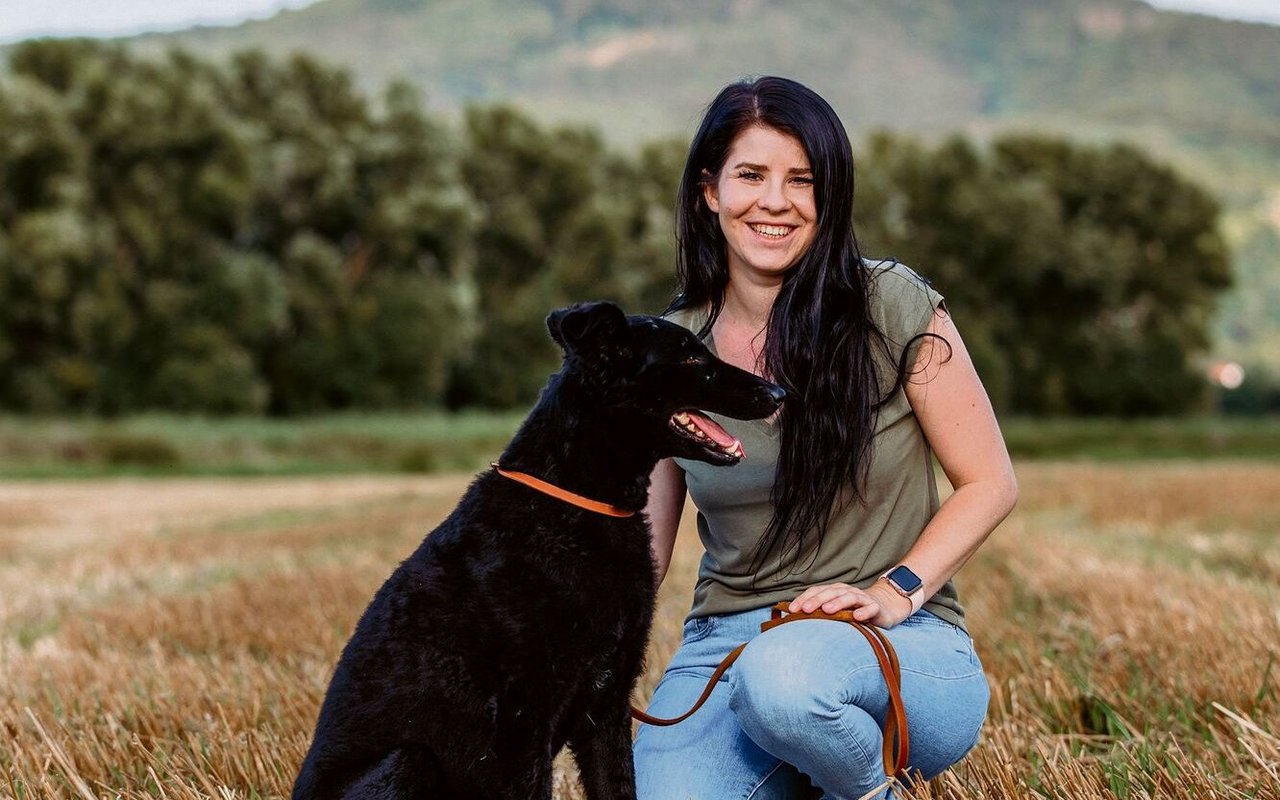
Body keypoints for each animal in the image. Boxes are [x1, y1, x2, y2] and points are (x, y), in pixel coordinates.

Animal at [293, 300, 783, 798]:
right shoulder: (523, 723)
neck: (575, 501)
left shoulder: (606, 706)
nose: (779, 392)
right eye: (690, 357)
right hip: (408, 760)